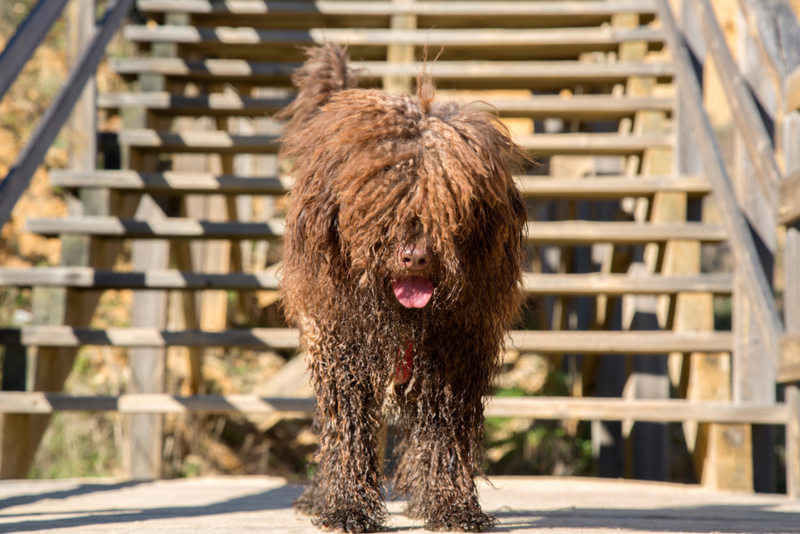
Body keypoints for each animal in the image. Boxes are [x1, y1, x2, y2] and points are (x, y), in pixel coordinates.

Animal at [276, 44, 532, 532]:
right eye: (381, 200)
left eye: (451, 205)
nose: (415, 256)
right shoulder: (343, 354)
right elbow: (348, 434)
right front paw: (348, 507)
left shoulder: (455, 359)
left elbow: (445, 438)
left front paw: (452, 506)